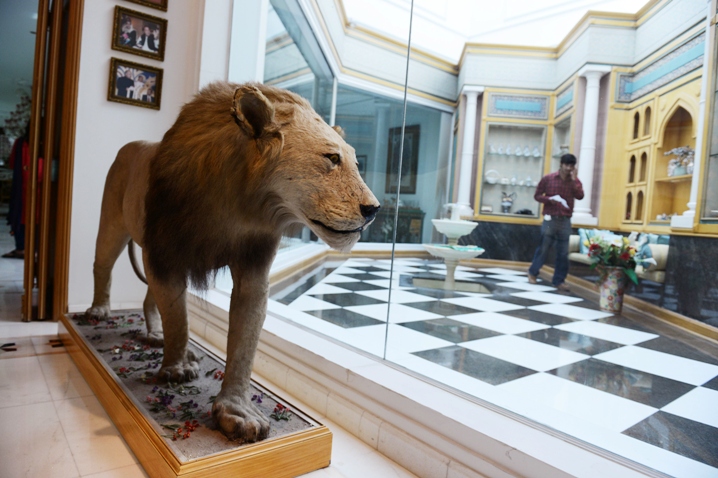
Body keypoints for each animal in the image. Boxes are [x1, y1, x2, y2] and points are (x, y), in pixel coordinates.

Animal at [87, 81, 382, 440]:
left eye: (355, 163)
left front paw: (236, 410)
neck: (237, 202)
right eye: (332, 158)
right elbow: (179, 318)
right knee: (103, 264)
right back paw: (99, 311)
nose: (374, 209)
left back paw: (155, 335)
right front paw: (177, 367)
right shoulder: (166, 252)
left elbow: (244, 342)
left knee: (149, 299)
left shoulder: (253, 264)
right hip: (114, 224)